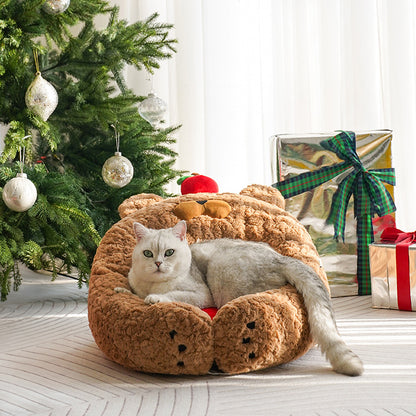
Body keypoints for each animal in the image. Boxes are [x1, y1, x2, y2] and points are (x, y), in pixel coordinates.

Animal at [118, 221, 364, 376]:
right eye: (148, 253)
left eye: (169, 252)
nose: (158, 263)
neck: (152, 283)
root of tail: (281, 259)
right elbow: (133, 291)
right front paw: (123, 291)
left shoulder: (200, 293)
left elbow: (172, 295)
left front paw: (154, 298)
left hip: (221, 267)